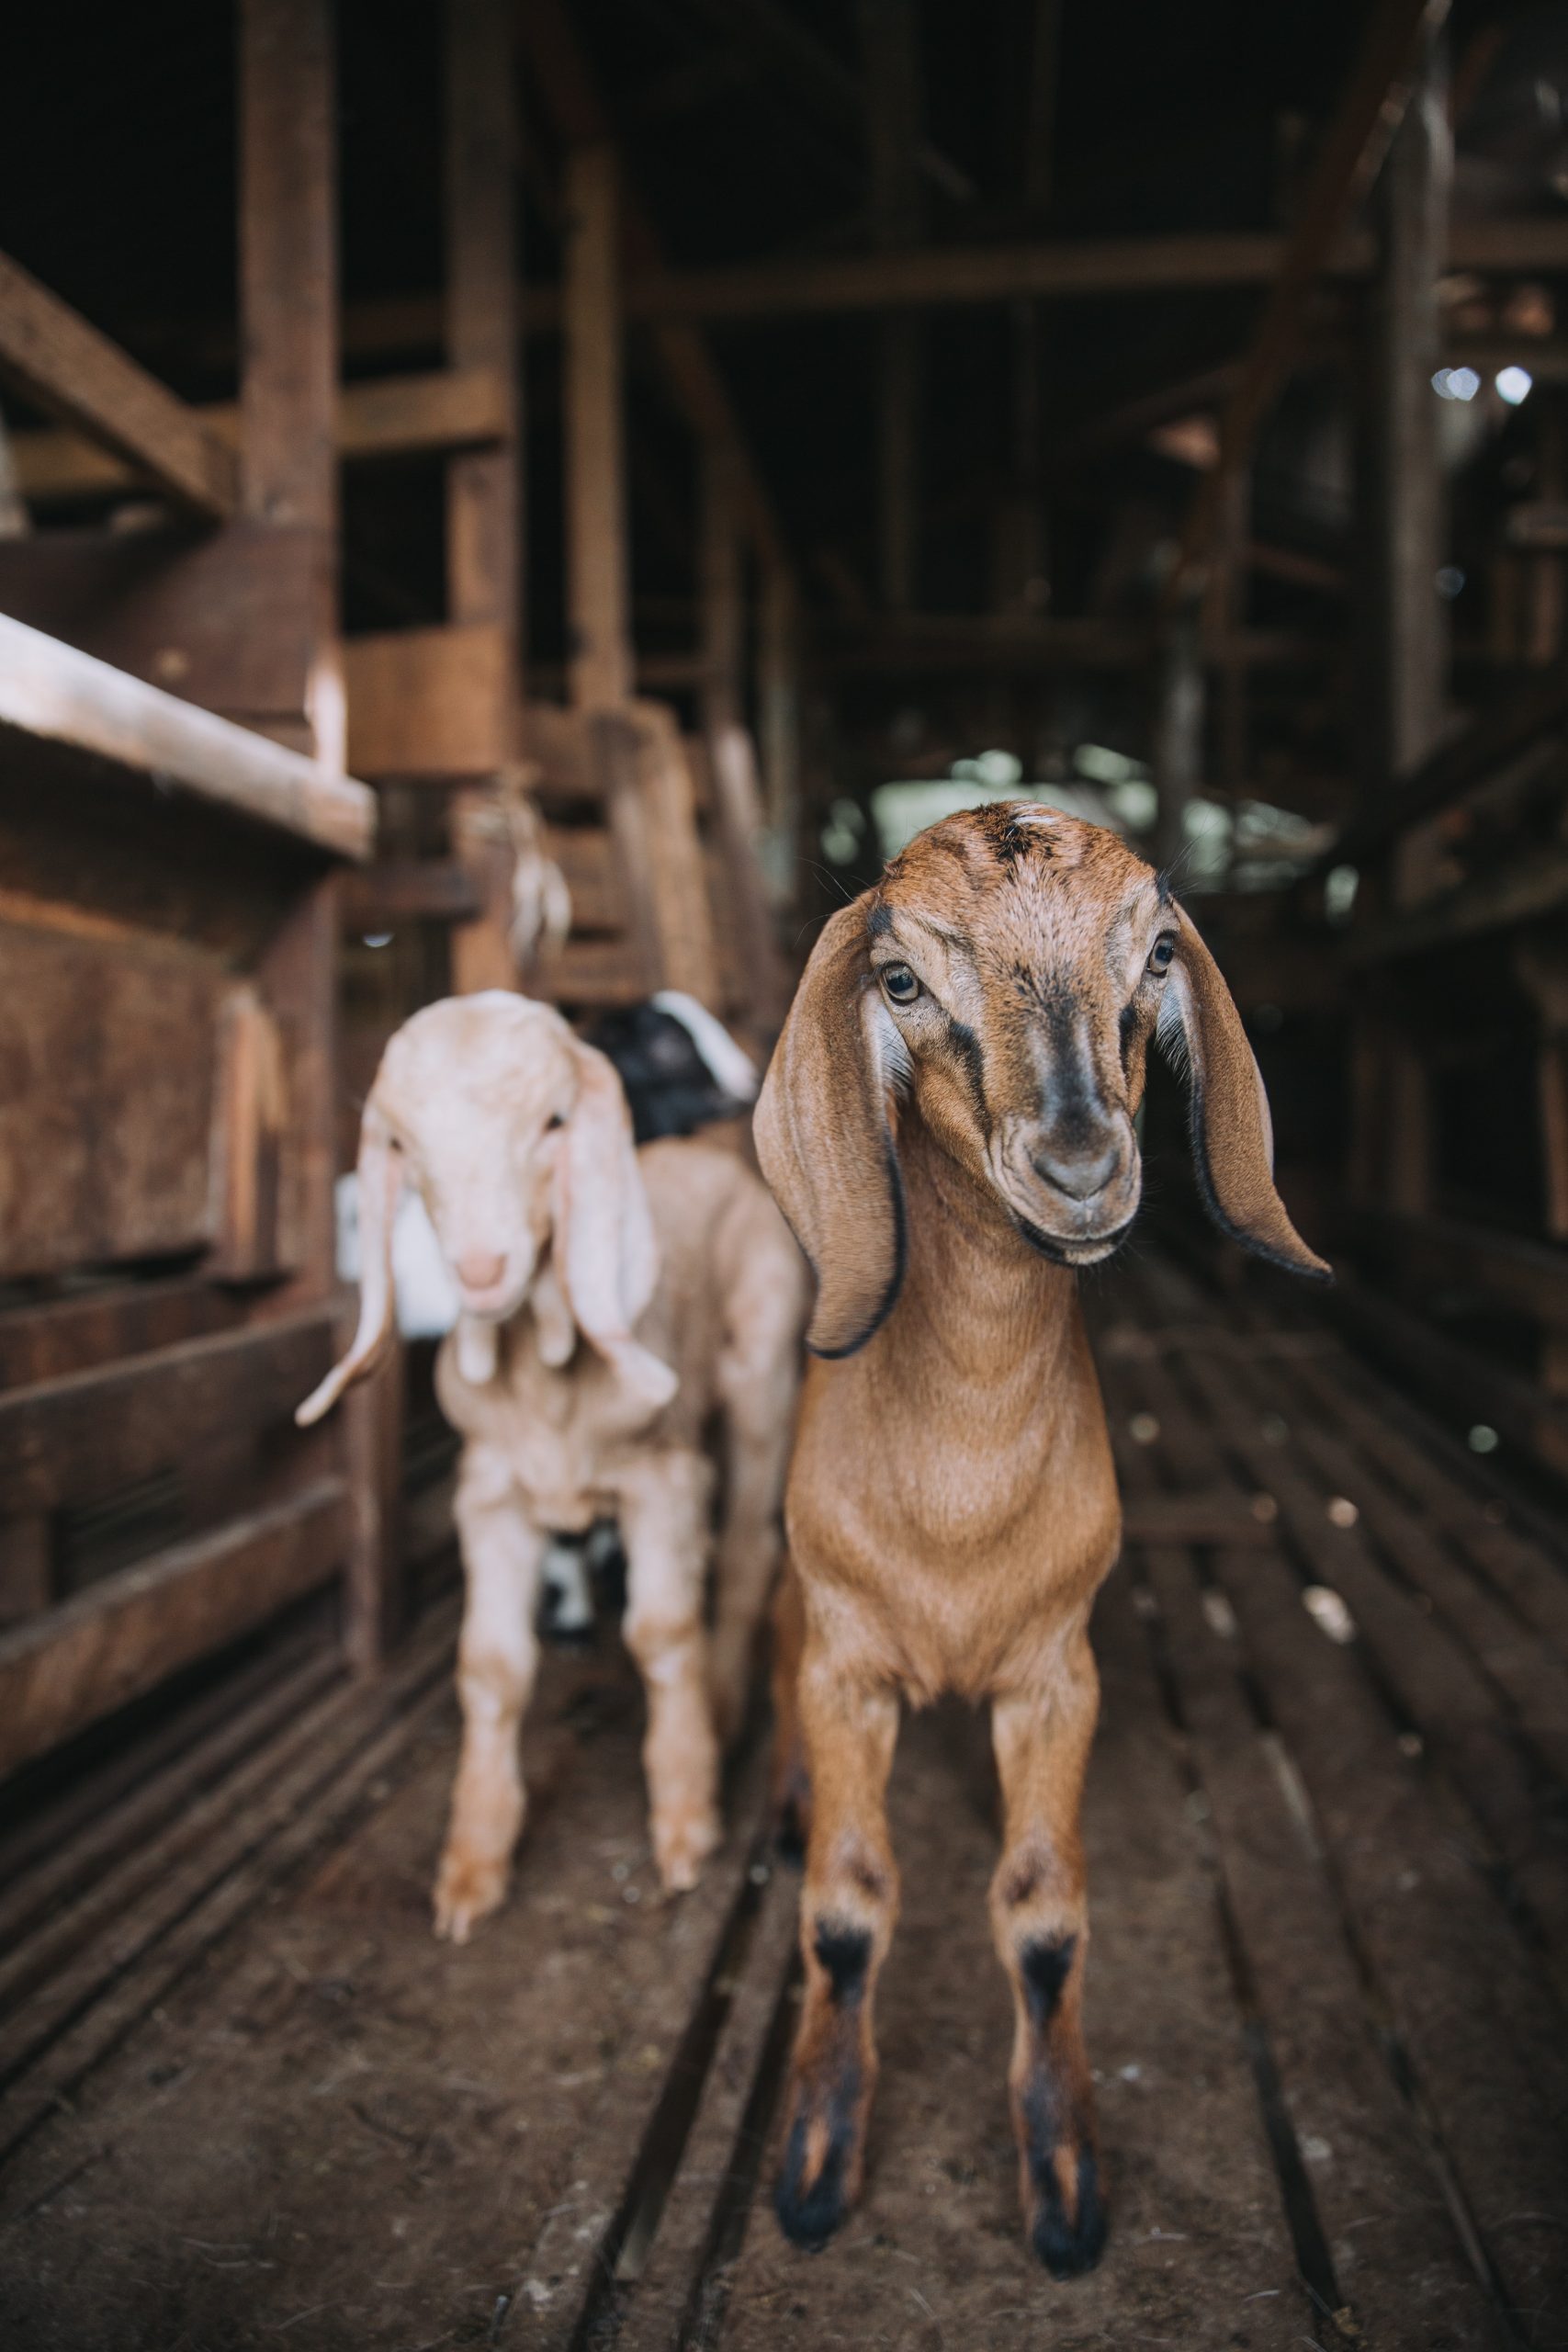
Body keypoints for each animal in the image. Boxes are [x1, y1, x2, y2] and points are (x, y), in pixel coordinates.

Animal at [298, 992, 807, 1941]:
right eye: (401, 1145)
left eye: (553, 1123)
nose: (479, 1269)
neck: (545, 1379)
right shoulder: (490, 1494)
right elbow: (491, 1667)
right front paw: (471, 1868)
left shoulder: (661, 1479)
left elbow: (662, 1634)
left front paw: (686, 1820)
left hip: (762, 1381)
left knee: (749, 1551)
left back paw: (722, 1711)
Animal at [754, 805, 1327, 2272]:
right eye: (901, 979)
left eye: (1154, 957)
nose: (1079, 1167)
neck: (958, 1500)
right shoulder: (848, 1665)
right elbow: (843, 1909)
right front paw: (815, 2163)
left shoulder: (1056, 1677)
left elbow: (1043, 1916)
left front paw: (1065, 2182)